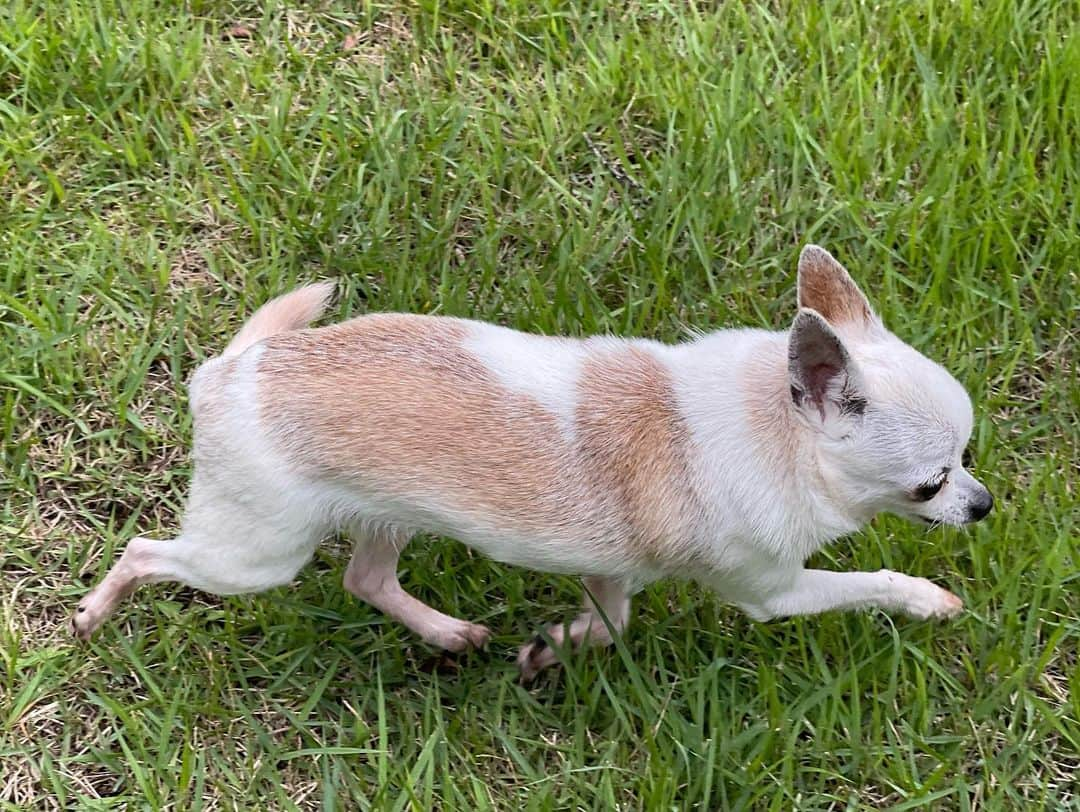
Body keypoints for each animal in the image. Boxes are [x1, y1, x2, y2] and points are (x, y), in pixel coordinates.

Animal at [71, 246, 989, 678]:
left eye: (968, 458)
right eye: (931, 483)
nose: (981, 504)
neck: (776, 424)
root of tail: (229, 372)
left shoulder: (611, 565)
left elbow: (613, 621)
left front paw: (555, 649)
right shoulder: (773, 590)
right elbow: (870, 582)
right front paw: (930, 600)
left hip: (387, 514)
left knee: (365, 578)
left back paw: (446, 633)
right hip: (253, 555)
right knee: (148, 552)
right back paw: (92, 612)